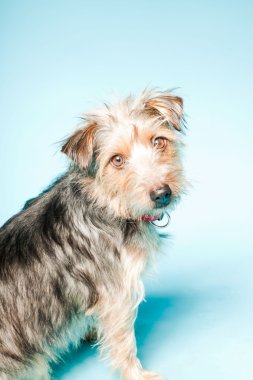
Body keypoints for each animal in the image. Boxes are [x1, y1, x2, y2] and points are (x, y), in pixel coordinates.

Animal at [0, 87, 186, 378]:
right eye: (117, 160)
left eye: (159, 142)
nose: (162, 194)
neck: (108, 203)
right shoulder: (118, 295)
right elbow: (124, 344)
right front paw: (137, 374)